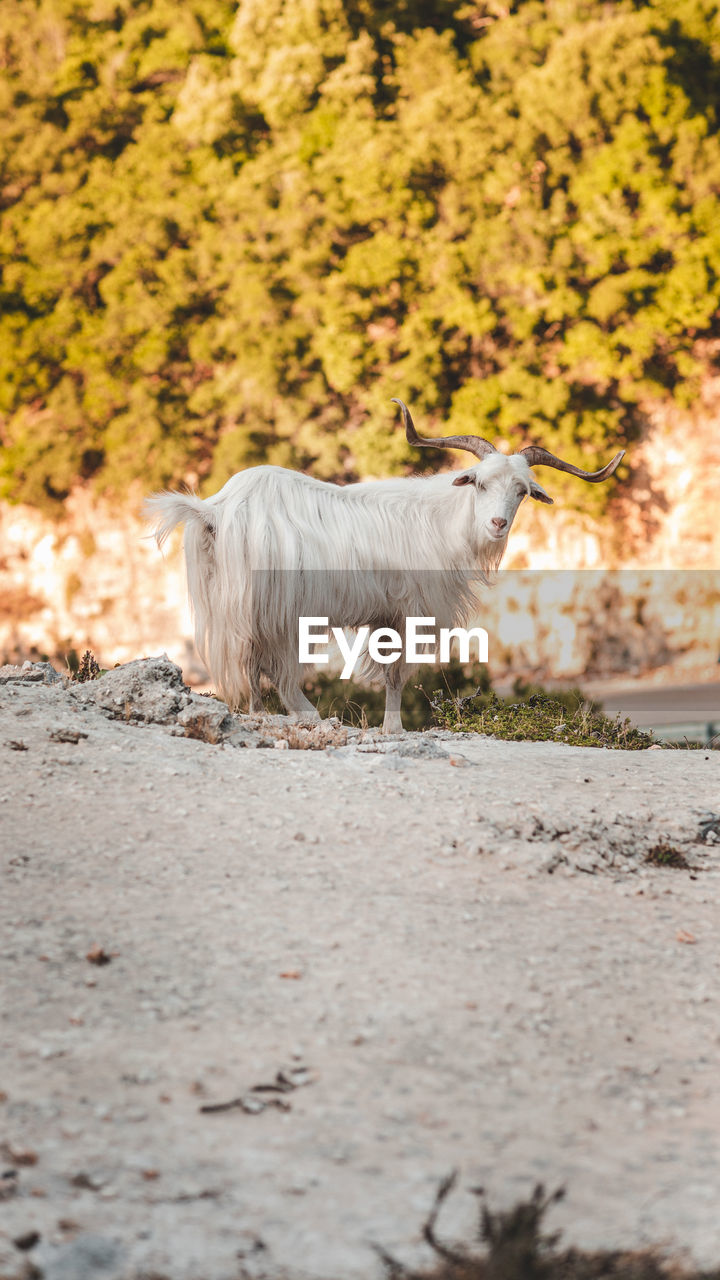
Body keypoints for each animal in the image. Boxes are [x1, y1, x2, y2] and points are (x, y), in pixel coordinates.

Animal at [142, 404, 620, 737]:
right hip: (279, 613)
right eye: (480, 483)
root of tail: (215, 510)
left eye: (521, 491)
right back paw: (313, 717)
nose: (498, 524)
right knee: (278, 675)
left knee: (251, 671)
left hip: (238, 610)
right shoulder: (408, 611)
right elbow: (395, 674)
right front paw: (395, 729)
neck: (442, 519)